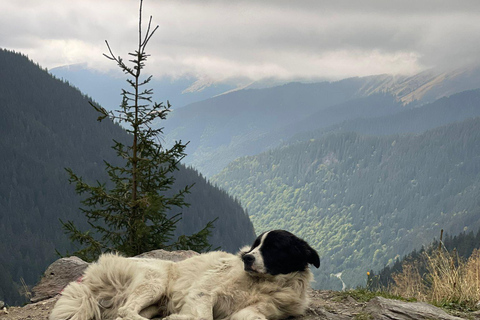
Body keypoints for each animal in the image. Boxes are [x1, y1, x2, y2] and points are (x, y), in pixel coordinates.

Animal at [49, 230, 318, 320]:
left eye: (273, 247)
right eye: (254, 246)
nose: (247, 258)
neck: (261, 284)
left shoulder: (255, 311)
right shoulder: (203, 292)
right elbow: (204, 317)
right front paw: (179, 318)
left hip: (155, 302)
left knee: (122, 314)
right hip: (155, 280)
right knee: (126, 311)